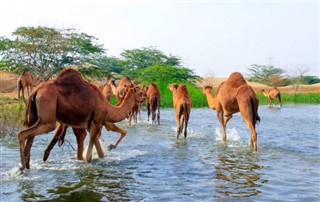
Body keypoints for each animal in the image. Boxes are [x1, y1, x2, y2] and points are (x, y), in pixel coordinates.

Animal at [18, 68, 146, 170]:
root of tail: (35, 91)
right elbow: (89, 157)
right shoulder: (97, 122)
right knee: (22, 133)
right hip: (47, 118)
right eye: (140, 92)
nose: (145, 97)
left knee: (30, 137)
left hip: (35, 116)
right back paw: (22, 168)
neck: (108, 107)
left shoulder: (91, 125)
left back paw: (27, 166)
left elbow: (100, 153)